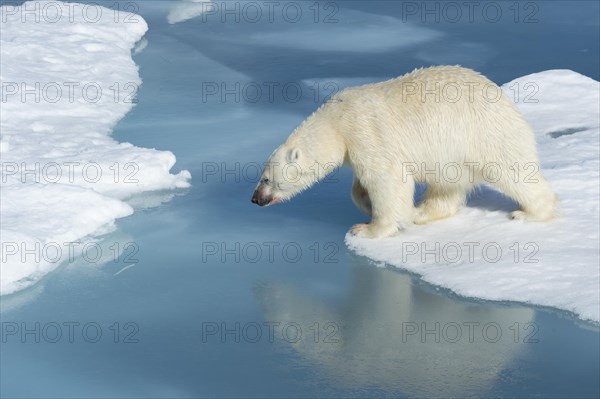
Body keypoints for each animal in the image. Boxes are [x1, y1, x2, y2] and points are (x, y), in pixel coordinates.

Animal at [250, 66, 556, 238]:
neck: (336, 121)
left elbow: (387, 178)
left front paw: (367, 229)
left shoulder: (365, 130)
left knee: (512, 170)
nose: (255, 199)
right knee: (447, 184)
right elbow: (362, 185)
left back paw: (530, 213)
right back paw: (421, 213)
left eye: (266, 179)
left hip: (484, 133)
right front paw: (369, 206)